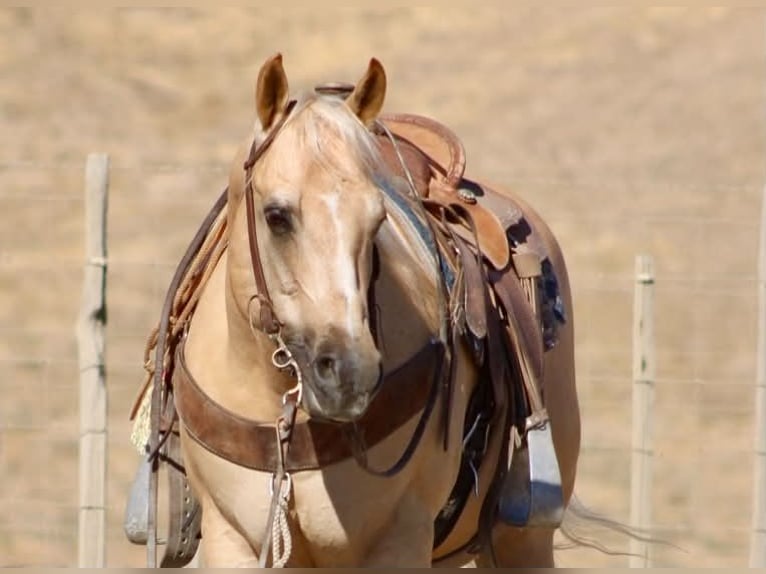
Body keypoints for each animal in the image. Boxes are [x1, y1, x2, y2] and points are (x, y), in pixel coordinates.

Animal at [145, 53, 581, 568]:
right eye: (276, 216)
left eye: (377, 221)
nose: (348, 373)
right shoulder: (231, 539)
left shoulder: (399, 540)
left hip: (522, 541)